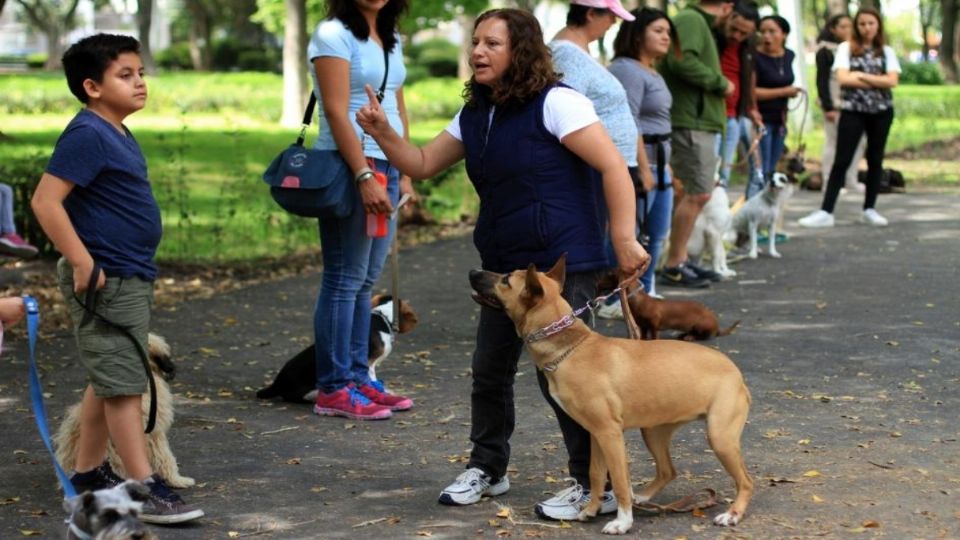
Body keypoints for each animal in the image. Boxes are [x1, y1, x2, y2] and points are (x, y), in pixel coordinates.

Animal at [596, 274, 740, 342]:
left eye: (609, 274)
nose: (597, 284)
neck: (641, 301)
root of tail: (717, 326)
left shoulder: (654, 325)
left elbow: (654, 336)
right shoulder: (642, 326)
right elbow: (643, 335)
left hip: (701, 325)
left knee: (704, 336)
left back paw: (690, 337)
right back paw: (683, 335)